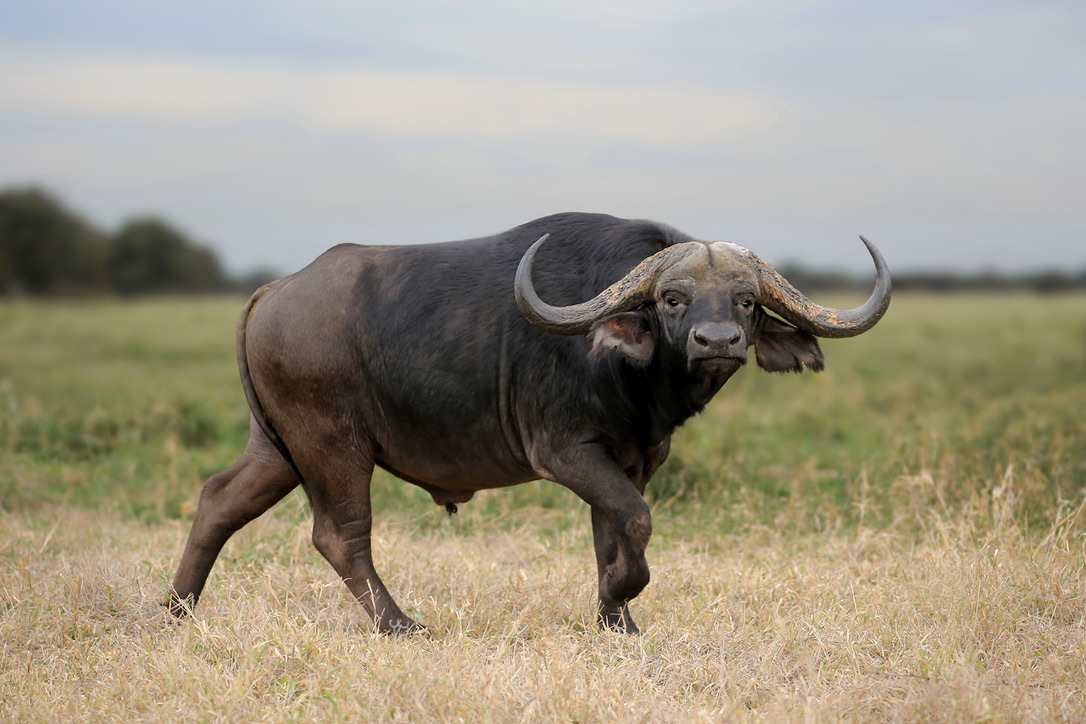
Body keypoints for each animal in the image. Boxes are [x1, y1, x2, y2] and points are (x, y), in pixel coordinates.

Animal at [169, 212, 891, 634]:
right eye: (671, 298)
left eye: (745, 300)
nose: (717, 342)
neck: (631, 376)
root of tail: (277, 290)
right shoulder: (566, 451)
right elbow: (634, 522)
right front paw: (622, 594)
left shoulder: (633, 459)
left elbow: (611, 532)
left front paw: (616, 621)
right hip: (332, 445)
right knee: (340, 536)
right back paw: (401, 624)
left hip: (277, 446)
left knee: (218, 500)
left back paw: (176, 610)